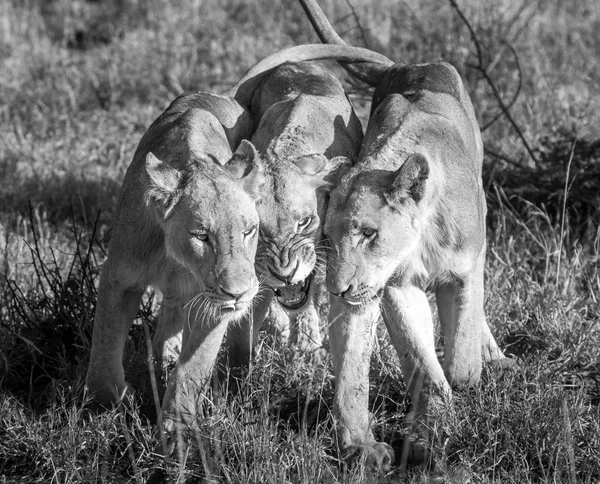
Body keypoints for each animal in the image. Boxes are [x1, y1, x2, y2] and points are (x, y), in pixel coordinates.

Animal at [298, 0, 512, 470]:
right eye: (328, 239)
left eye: (368, 233)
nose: (337, 291)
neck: (422, 238)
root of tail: (409, 64)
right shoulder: (396, 285)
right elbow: (418, 356)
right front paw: (430, 427)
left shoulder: (467, 269)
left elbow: (462, 351)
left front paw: (466, 376)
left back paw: (493, 356)